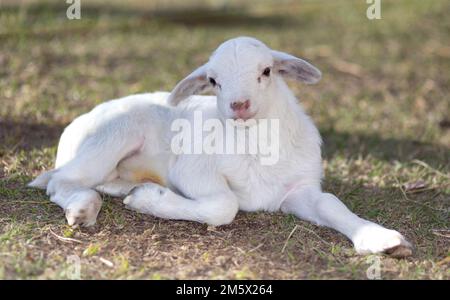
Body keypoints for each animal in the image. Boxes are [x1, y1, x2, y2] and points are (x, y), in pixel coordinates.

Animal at [29, 36, 412, 256]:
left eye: (267, 71)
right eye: (213, 81)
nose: (238, 105)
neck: (256, 147)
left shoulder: (299, 189)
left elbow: (331, 204)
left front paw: (382, 240)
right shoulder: (192, 170)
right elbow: (225, 206)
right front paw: (149, 200)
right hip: (113, 135)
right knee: (61, 182)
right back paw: (83, 207)